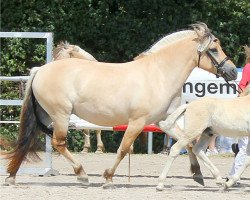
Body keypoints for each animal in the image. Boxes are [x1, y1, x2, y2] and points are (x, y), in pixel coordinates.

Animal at [4, 23, 237, 188]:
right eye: (214, 49)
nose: (233, 71)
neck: (159, 74)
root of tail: (40, 70)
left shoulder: (163, 121)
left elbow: (187, 143)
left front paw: (201, 175)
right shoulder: (137, 123)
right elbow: (123, 149)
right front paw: (108, 178)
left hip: (46, 115)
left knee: (28, 140)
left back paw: (12, 176)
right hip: (61, 115)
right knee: (58, 143)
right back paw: (82, 174)